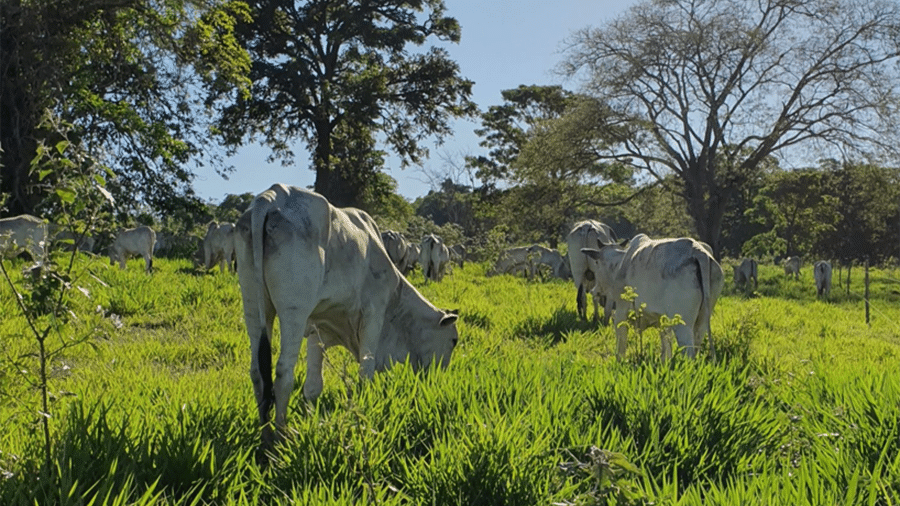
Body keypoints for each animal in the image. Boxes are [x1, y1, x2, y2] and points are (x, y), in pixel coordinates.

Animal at [584, 233, 724, 360]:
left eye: (596, 262)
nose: (594, 290)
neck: (618, 265)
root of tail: (698, 251)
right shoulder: (663, 320)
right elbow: (666, 347)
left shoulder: (620, 312)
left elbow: (621, 345)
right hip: (703, 319)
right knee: (697, 342)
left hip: (683, 324)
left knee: (688, 353)